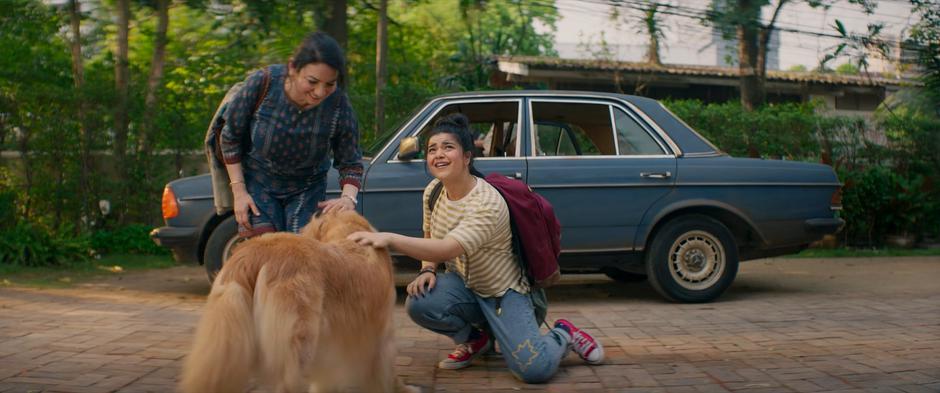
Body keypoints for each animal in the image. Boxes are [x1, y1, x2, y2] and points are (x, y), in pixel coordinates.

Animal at [182, 211, 416, 392]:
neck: (349, 234)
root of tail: (255, 250)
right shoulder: (381, 333)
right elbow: (386, 373)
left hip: (223, 341)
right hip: (298, 342)